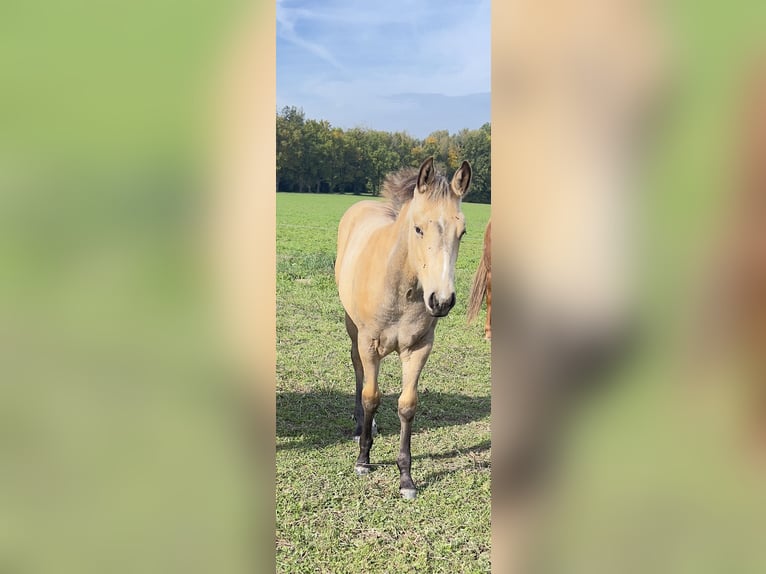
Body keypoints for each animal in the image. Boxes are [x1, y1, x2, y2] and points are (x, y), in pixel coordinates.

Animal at [338, 156, 474, 500]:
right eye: (418, 228)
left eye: (462, 232)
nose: (441, 301)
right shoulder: (369, 342)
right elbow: (372, 396)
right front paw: (363, 459)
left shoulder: (419, 348)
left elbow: (407, 405)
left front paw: (406, 478)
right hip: (352, 326)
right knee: (357, 368)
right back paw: (360, 425)